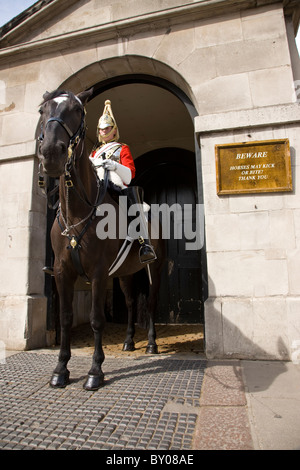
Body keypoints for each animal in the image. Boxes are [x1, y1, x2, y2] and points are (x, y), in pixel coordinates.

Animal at [37, 88, 166, 390]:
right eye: (42, 110)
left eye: (77, 110)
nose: (51, 153)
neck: (77, 212)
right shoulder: (62, 272)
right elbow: (65, 318)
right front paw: (60, 369)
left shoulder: (97, 273)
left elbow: (97, 319)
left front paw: (95, 371)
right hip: (125, 274)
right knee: (130, 303)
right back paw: (129, 341)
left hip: (153, 268)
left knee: (150, 303)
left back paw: (151, 344)